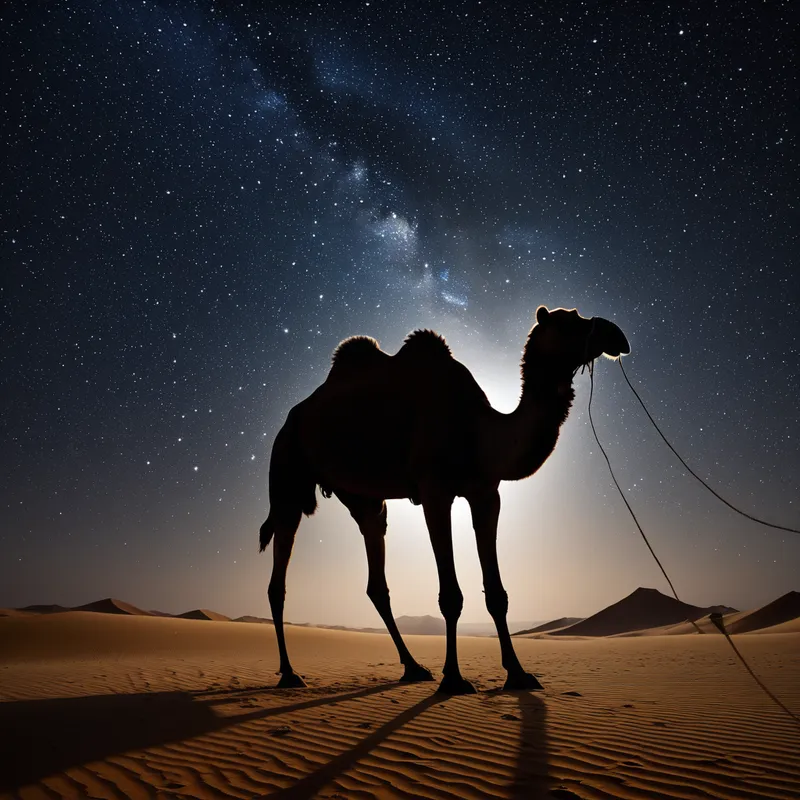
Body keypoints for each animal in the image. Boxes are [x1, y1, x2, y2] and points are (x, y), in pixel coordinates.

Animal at [259, 306, 630, 694]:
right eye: (569, 321)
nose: (616, 335)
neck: (478, 429)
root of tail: (289, 421)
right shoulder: (434, 490)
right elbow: (450, 595)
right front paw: (453, 678)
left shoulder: (486, 493)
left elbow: (497, 594)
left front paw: (518, 674)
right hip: (286, 474)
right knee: (278, 579)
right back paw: (289, 673)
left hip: (364, 498)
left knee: (376, 574)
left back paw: (413, 667)